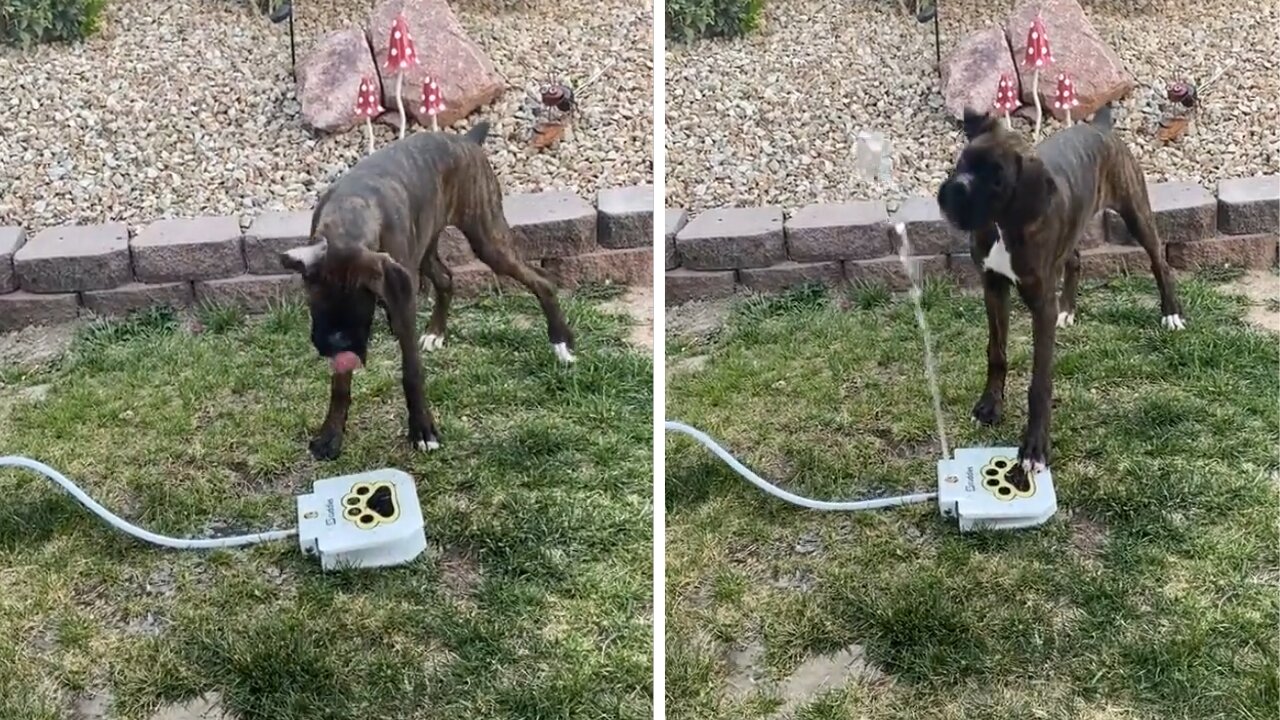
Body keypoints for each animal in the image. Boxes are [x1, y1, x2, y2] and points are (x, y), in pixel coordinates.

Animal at [286, 121, 581, 458]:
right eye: (317, 307)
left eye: (362, 308)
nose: (336, 346)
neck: (350, 219)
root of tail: (467, 141)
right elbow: (339, 384)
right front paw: (331, 434)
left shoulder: (400, 302)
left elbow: (412, 372)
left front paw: (422, 429)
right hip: (426, 246)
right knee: (446, 278)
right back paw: (436, 332)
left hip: (487, 238)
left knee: (541, 280)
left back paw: (561, 342)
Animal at [936, 103, 1182, 474]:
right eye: (962, 162)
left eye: (997, 178)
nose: (954, 192)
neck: (1005, 224)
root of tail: (1100, 126)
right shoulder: (993, 287)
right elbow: (997, 353)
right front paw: (990, 406)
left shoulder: (1041, 305)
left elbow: (1039, 383)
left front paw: (1034, 448)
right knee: (1075, 259)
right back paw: (1068, 309)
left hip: (1136, 211)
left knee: (1159, 261)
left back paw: (1171, 313)